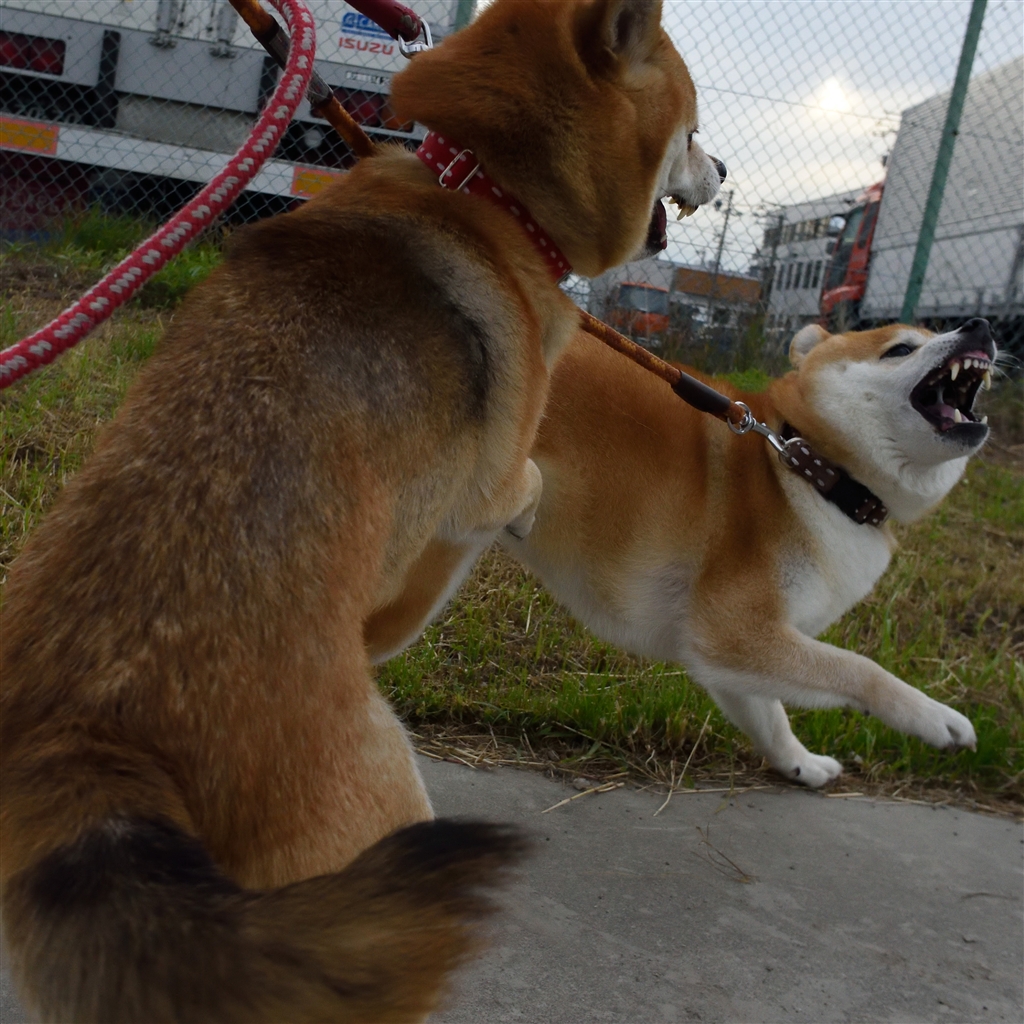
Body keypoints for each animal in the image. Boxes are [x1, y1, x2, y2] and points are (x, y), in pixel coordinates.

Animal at [0, 1, 722, 1020]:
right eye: (692, 131)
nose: (726, 170)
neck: (485, 193)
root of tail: (87, 740)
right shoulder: (485, 486)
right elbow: (520, 488)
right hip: (384, 809)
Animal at [504, 319, 994, 787]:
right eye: (901, 349)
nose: (981, 326)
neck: (811, 471)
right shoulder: (733, 628)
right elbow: (859, 668)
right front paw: (935, 718)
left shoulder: (729, 650)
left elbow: (768, 717)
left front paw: (801, 764)